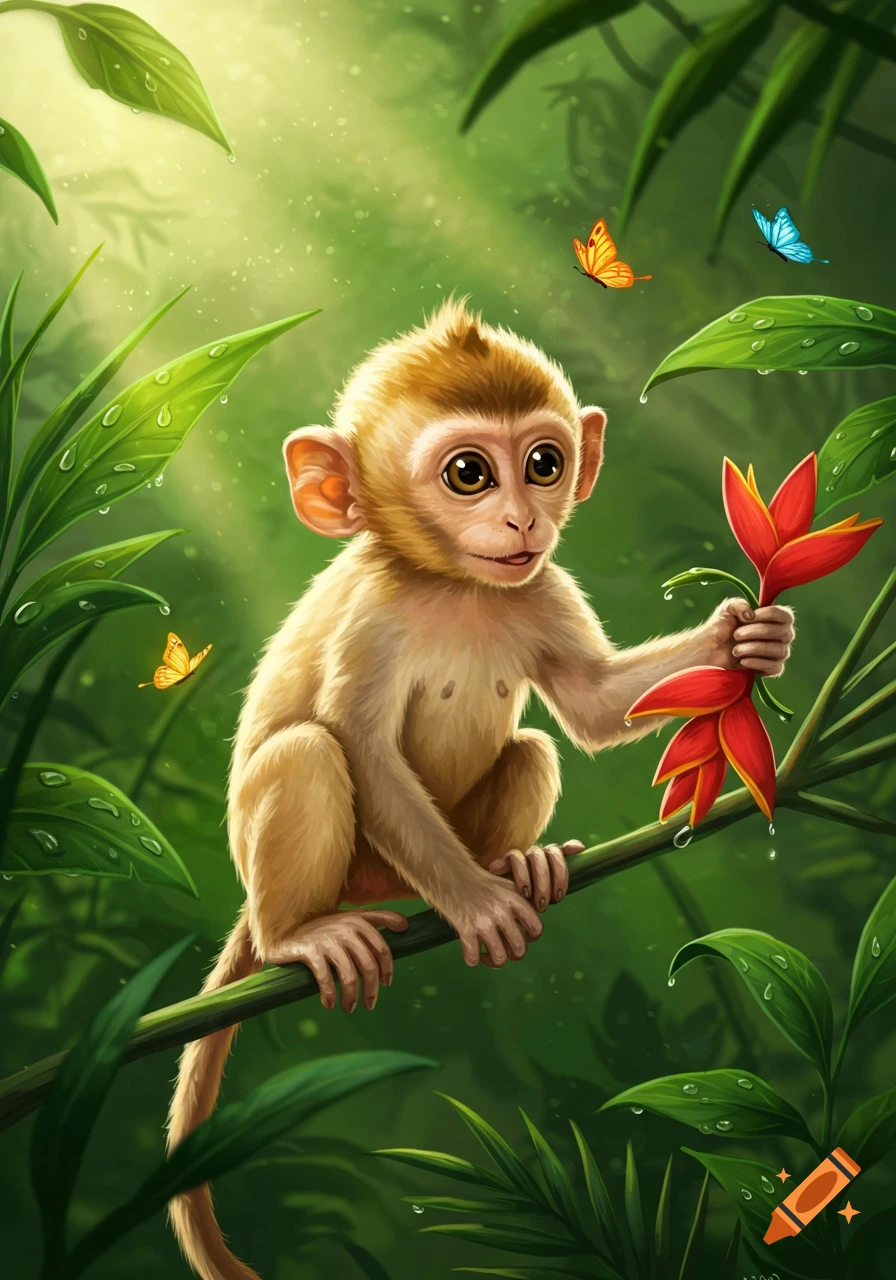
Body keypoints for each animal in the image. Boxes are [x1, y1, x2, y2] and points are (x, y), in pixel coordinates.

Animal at [167, 298, 795, 1280]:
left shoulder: (543, 588)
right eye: (469, 473)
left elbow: (594, 705)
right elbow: (361, 749)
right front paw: (478, 906)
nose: (520, 520)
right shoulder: (373, 614)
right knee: (310, 753)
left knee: (533, 749)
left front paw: (745, 638)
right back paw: (305, 936)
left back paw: (519, 864)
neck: (453, 587)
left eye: (544, 464)